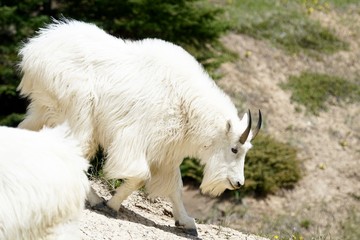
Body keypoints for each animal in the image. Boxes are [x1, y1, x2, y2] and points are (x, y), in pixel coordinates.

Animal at [17, 19, 262, 236]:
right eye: (234, 149)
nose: (238, 183)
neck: (187, 105)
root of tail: (34, 48)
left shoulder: (167, 155)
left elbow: (175, 187)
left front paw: (187, 223)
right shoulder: (135, 139)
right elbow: (140, 177)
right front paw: (112, 206)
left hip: (45, 108)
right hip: (78, 110)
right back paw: (94, 199)